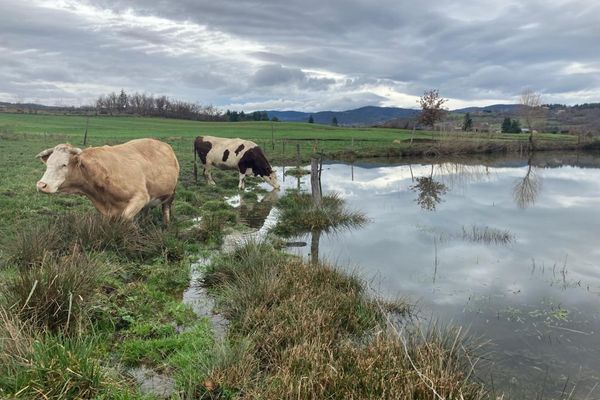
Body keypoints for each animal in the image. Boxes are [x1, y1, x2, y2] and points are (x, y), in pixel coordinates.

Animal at [35, 139, 179, 223]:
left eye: (64, 164)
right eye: (48, 164)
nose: (41, 185)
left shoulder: (140, 197)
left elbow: (125, 218)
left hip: (170, 194)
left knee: (166, 210)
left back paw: (166, 226)